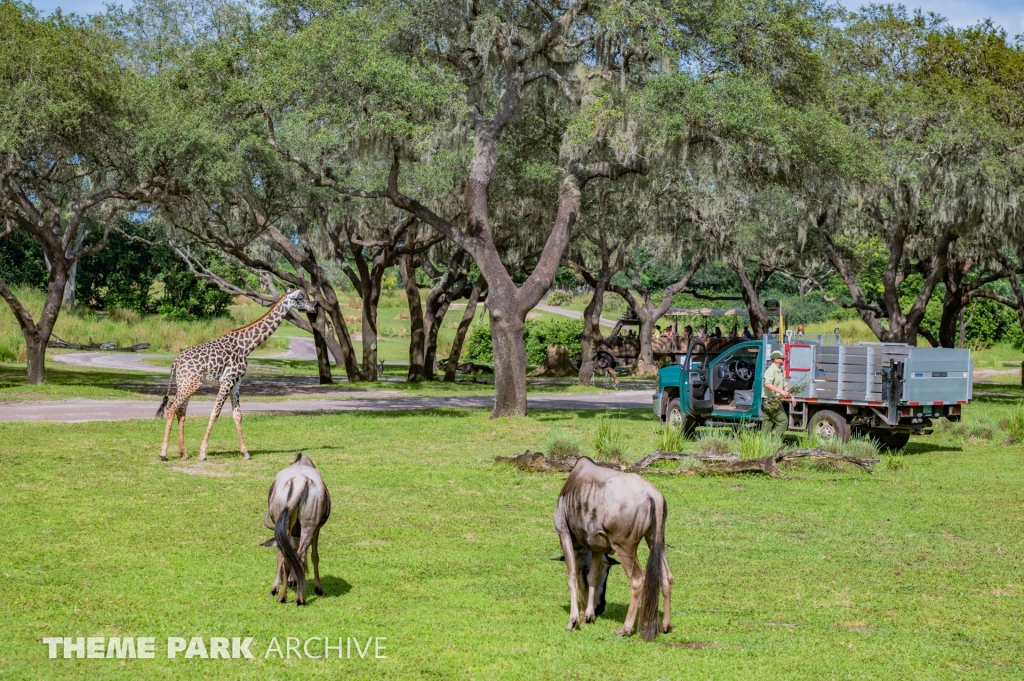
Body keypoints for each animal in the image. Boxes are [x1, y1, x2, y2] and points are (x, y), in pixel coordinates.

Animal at [154, 288, 315, 458]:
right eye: (300, 298)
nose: (313, 306)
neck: (246, 346)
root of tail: (175, 362)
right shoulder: (228, 379)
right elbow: (215, 412)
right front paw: (203, 452)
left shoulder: (237, 381)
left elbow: (237, 415)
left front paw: (245, 452)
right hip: (191, 384)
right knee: (172, 406)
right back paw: (163, 452)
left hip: (185, 383)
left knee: (181, 410)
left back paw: (183, 453)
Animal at [262, 450, 329, 606]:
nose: (291, 582)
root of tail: (299, 481)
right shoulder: (316, 530)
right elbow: (314, 556)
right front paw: (318, 588)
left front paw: (275, 588)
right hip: (308, 527)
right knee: (300, 556)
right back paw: (298, 597)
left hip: (289, 526)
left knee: (288, 556)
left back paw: (283, 596)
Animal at [552, 456, 671, 639]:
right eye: (606, 573)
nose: (600, 608)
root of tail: (652, 494)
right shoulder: (597, 547)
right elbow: (592, 577)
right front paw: (588, 616)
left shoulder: (563, 533)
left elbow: (572, 578)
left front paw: (573, 620)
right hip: (655, 541)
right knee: (666, 577)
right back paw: (664, 625)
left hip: (625, 547)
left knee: (638, 580)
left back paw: (626, 628)